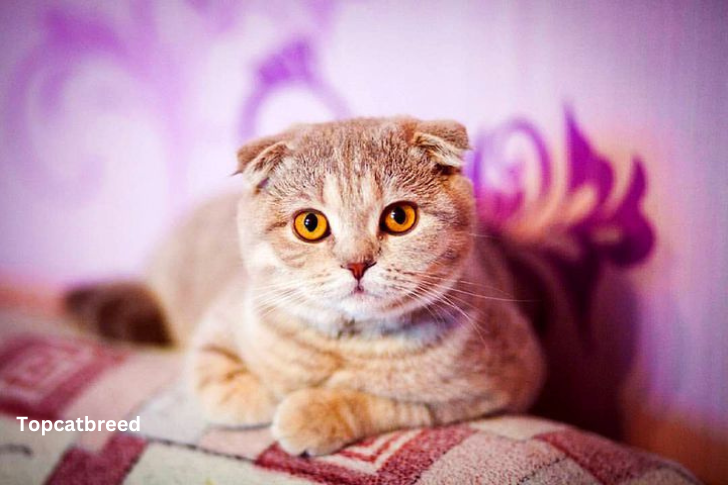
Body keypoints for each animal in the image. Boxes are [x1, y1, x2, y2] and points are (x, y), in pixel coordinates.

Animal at [67, 116, 544, 454]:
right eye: (310, 224)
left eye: (399, 217)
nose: (357, 263)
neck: (344, 343)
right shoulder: (215, 330)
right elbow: (222, 383)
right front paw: (272, 394)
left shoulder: (504, 384)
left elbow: (392, 402)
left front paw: (310, 411)